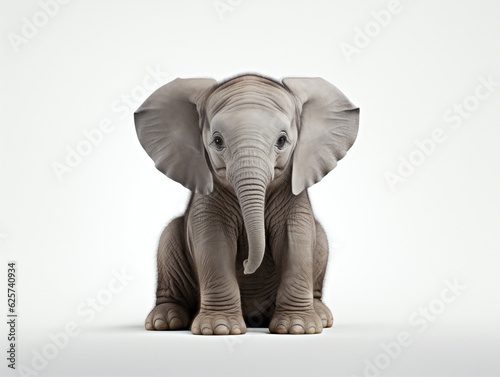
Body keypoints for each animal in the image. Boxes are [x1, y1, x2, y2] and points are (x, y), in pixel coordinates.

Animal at [133, 73, 360, 334]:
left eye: (282, 140)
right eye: (217, 141)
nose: (244, 263)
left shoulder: (293, 194)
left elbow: (296, 238)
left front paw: (298, 329)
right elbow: (214, 240)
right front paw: (219, 329)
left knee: (319, 234)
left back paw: (321, 316)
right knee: (169, 235)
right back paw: (166, 321)